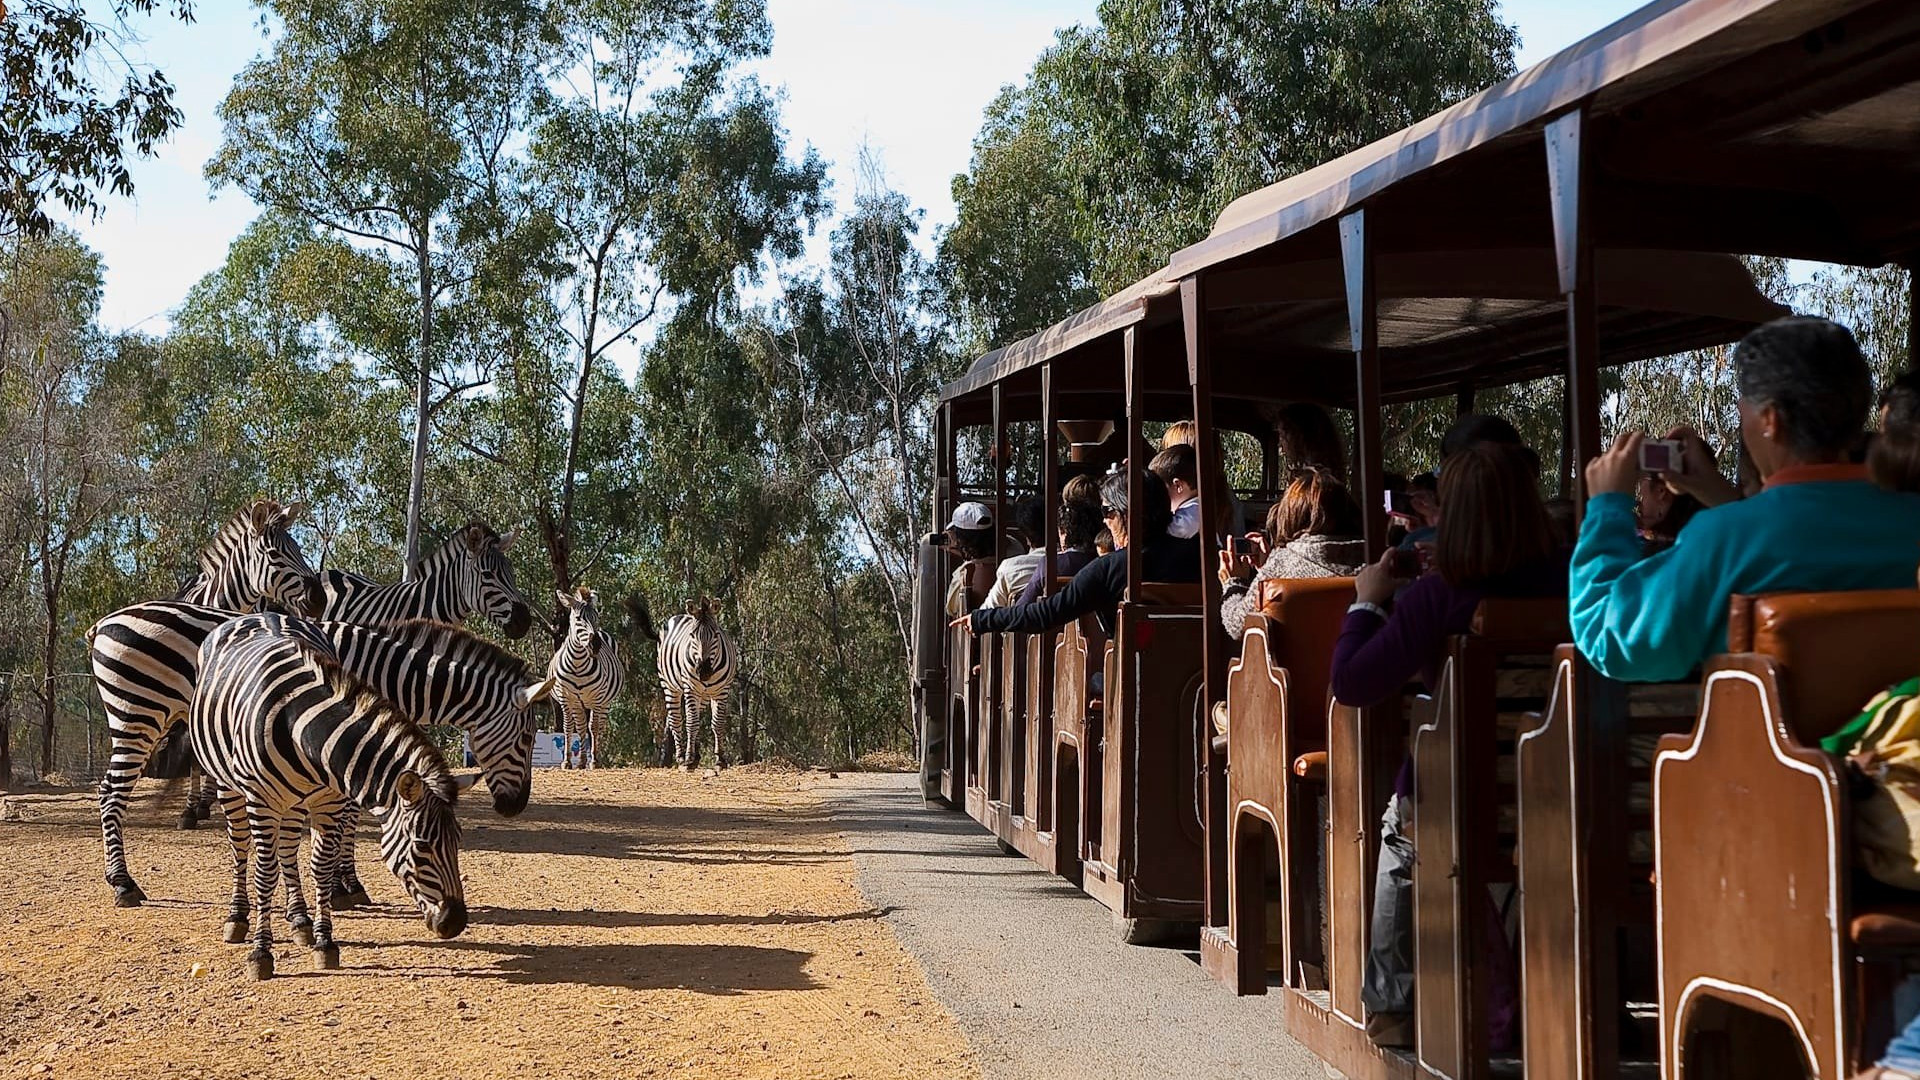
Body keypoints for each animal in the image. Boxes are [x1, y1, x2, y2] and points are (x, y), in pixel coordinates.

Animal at [89, 499, 322, 903]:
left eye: (299, 550)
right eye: (275, 554)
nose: (319, 597)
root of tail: (102, 624)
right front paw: (195, 809)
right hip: (136, 715)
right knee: (110, 792)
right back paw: (122, 882)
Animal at [192, 614, 470, 976]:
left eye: (457, 842)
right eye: (422, 847)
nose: (457, 923)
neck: (304, 733)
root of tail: (258, 614)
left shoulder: (330, 801)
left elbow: (320, 866)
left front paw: (325, 942)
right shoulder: (262, 801)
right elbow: (264, 873)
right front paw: (261, 953)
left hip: (295, 801)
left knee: (287, 849)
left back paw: (300, 921)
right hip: (228, 784)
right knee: (240, 848)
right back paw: (238, 918)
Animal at [549, 584, 622, 768]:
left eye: (596, 617)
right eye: (578, 619)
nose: (595, 645)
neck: (577, 664)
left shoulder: (597, 697)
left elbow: (594, 727)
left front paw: (594, 760)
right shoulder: (565, 698)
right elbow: (568, 727)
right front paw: (567, 761)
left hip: (604, 702)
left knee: (599, 725)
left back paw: (596, 758)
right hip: (578, 702)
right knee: (581, 726)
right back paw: (581, 761)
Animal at [660, 595, 733, 764]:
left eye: (716, 635)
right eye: (692, 635)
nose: (703, 671)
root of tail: (681, 615)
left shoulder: (722, 690)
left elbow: (718, 722)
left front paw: (720, 758)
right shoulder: (691, 688)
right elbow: (692, 722)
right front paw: (688, 758)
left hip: (704, 695)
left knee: (697, 716)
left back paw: (696, 753)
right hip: (669, 686)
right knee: (676, 719)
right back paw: (681, 756)